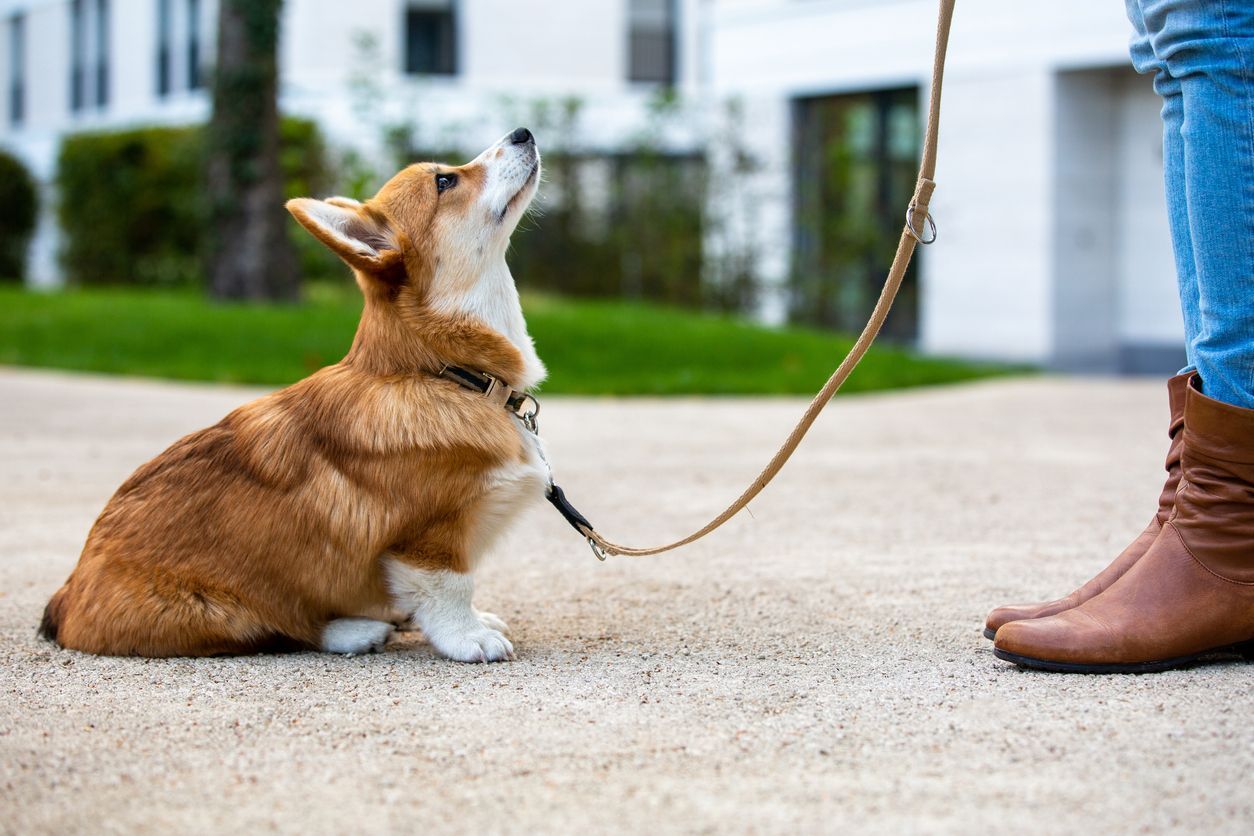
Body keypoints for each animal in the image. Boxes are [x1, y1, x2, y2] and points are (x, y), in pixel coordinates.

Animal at [40, 127, 549, 661]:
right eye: (445, 181)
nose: (523, 132)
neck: (440, 371)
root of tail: (66, 597)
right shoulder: (428, 538)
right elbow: (450, 588)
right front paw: (468, 637)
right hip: (223, 612)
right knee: (284, 627)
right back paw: (356, 630)